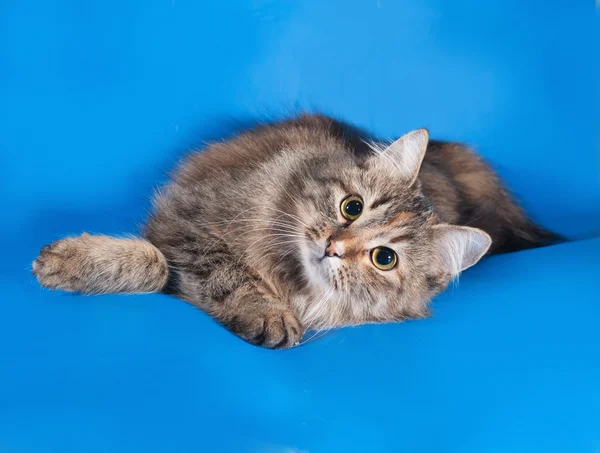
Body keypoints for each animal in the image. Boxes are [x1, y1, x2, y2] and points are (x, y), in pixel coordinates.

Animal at [31, 115, 556, 348]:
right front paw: (63, 262)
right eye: (351, 207)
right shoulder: (185, 224)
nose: (334, 246)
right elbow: (160, 265)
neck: (287, 277)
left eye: (384, 258)